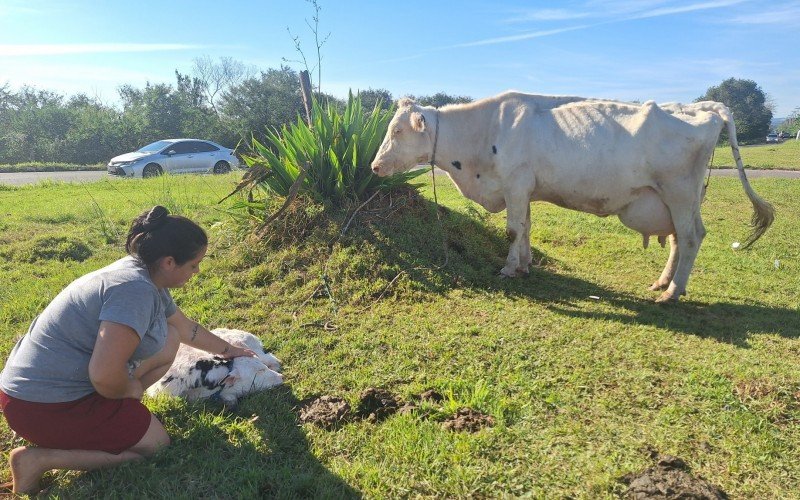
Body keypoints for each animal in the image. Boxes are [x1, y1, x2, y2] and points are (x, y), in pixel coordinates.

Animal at [374, 90, 776, 302]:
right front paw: (525, 264)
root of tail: (704, 106)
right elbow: (526, 228)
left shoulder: (515, 184)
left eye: (396, 130)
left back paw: (671, 293)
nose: (375, 166)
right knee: (683, 238)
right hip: (681, 200)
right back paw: (663, 282)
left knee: (691, 238)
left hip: (679, 192)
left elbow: (512, 230)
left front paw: (509, 268)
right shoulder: (525, 189)